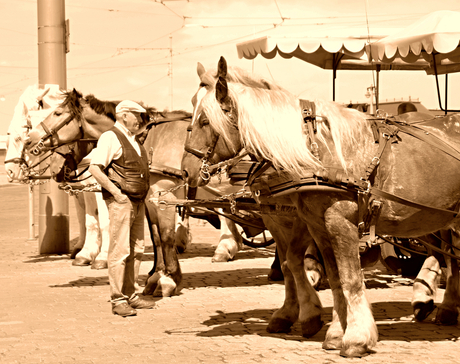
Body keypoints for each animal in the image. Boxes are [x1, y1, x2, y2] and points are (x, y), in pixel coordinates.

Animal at [23, 89, 260, 298]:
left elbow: (166, 236)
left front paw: (169, 279)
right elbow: (156, 237)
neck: (148, 139)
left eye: (57, 113)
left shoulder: (165, 195)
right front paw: (156, 275)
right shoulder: (149, 199)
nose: (29, 140)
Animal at [181, 56, 460, 356]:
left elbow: (349, 278)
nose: (185, 171)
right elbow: (330, 276)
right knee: (451, 258)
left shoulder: (338, 223)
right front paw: (334, 331)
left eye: (205, 120)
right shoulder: (314, 224)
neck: (314, 152)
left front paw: (356, 338)